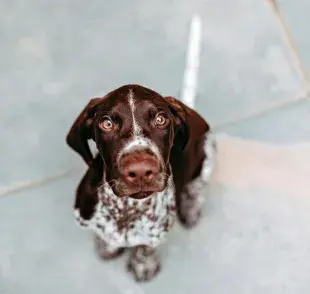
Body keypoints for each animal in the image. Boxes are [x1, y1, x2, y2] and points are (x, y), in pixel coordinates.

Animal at [65, 84, 216, 282]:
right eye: (107, 123)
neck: (126, 208)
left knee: (195, 188)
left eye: (160, 119)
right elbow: (104, 234)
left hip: (208, 155)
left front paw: (143, 265)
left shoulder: (157, 233)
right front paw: (108, 247)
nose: (140, 171)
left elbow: (146, 247)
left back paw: (190, 209)